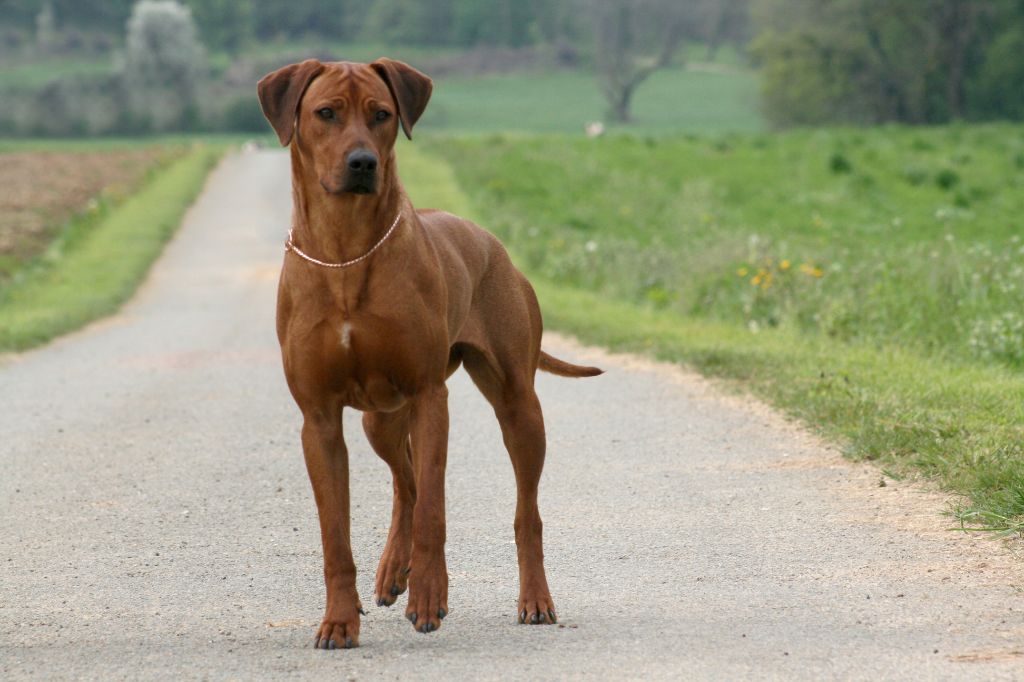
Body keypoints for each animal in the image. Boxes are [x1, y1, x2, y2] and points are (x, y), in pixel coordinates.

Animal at [256, 59, 602, 647]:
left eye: (381, 115)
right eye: (325, 113)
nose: (363, 163)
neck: (347, 253)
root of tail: (492, 242)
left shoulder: (428, 394)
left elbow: (435, 515)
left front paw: (429, 597)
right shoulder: (318, 418)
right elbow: (336, 535)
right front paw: (339, 620)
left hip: (516, 404)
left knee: (522, 512)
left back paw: (533, 598)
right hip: (378, 418)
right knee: (406, 483)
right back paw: (392, 570)